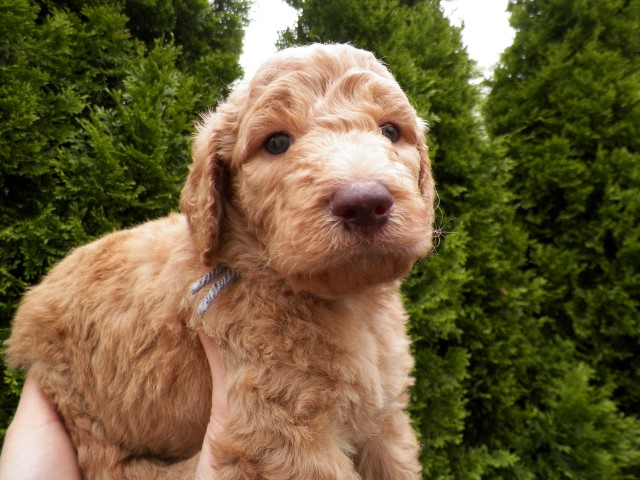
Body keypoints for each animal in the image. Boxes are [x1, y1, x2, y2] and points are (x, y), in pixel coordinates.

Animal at [7, 43, 435, 479]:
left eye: (390, 132)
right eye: (276, 143)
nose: (364, 203)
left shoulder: (384, 418)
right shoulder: (281, 429)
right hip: (75, 394)